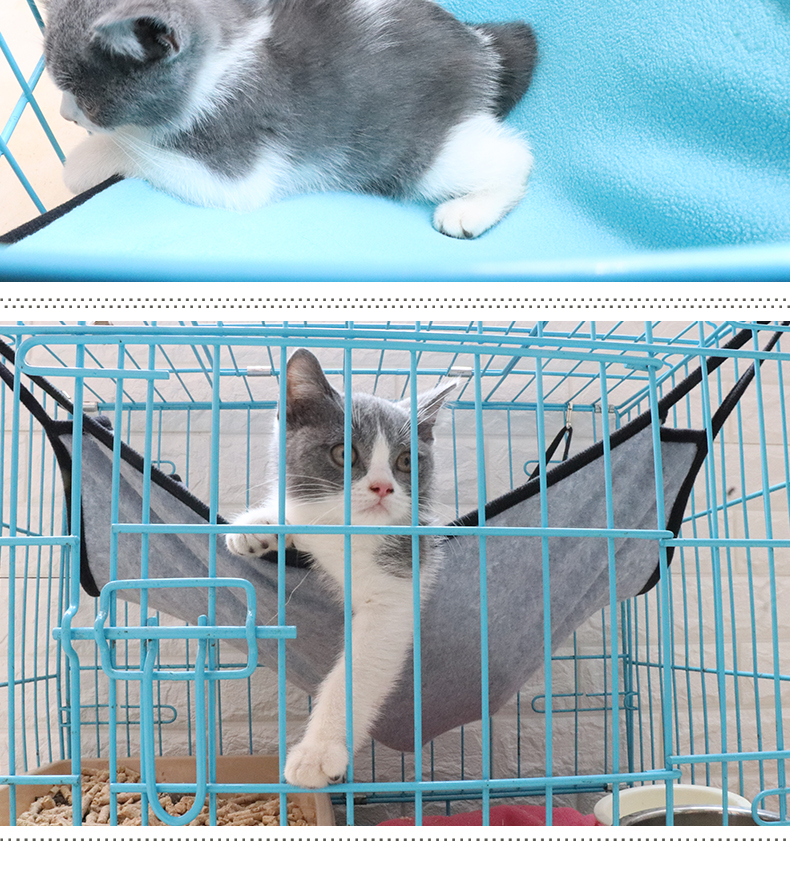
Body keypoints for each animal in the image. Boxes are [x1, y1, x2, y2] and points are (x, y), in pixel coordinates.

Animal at [43, 0, 538, 239]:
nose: (66, 115)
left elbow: (138, 147)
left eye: (83, 98)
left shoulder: (236, 160)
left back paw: (471, 209)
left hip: (407, 146)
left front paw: (83, 162)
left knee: (511, 154)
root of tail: (478, 47)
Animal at [225, 349, 455, 787]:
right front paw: (256, 527)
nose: (383, 487)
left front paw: (318, 752)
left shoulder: (399, 580)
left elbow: (357, 669)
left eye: (406, 461)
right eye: (344, 453)